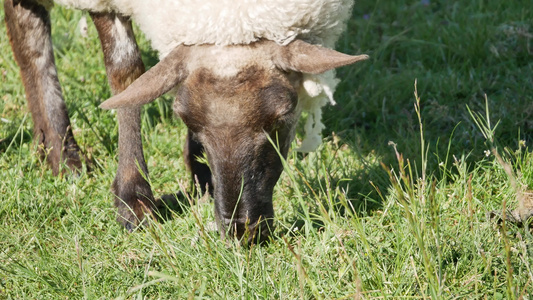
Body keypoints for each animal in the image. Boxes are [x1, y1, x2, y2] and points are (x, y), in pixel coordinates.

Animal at [4, 0, 368, 244]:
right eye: (183, 116)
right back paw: (64, 155)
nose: (240, 229)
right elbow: (125, 70)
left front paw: (200, 176)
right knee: (29, 36)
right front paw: (133, 199)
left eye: (282, 116)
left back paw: (45, 144)